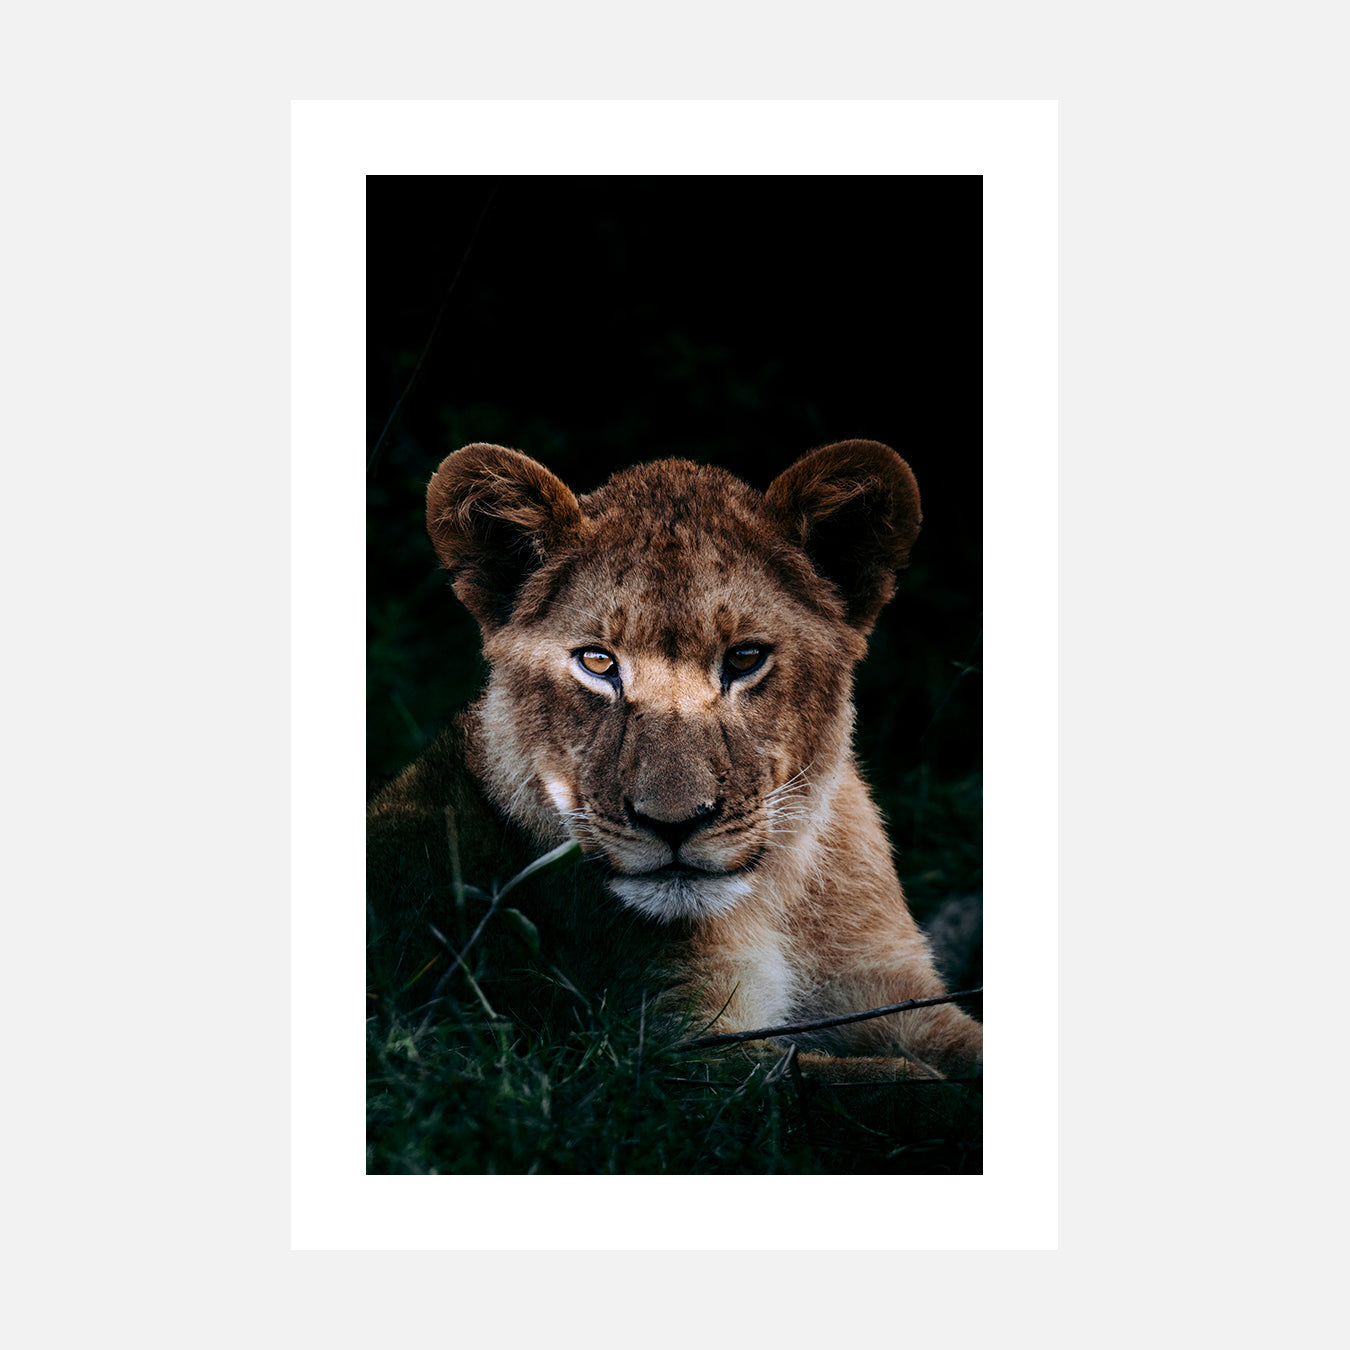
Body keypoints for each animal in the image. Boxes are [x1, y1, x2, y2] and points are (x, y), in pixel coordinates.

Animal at [367, 440, 983, 1082]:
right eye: (597, 662)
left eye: (744, 659)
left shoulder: (895, 991)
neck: (774, 901)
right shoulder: (661, 1047)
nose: (673, 825)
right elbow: (877, 1081)